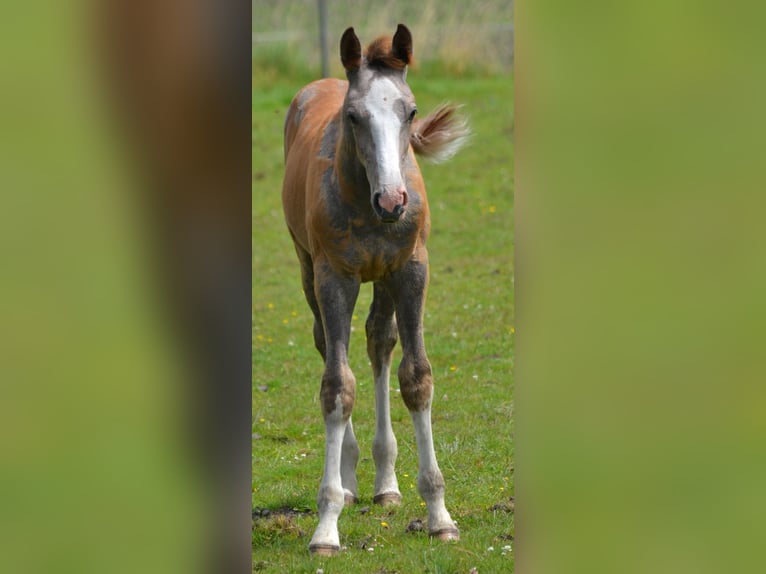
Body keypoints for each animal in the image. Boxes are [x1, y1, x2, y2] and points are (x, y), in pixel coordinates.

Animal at [284, 23, 472, 560]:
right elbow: (336, 386)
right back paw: (349, 481)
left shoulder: (410, 271)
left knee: (378, 341)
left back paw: (386, 483)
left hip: (384, 278)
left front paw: (439, 517)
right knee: (331, 345)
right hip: (309, 270)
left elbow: (416, 378)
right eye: (353, 116)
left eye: (410, 111)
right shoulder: (334, 277)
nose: (393, 201)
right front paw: (326, 527)